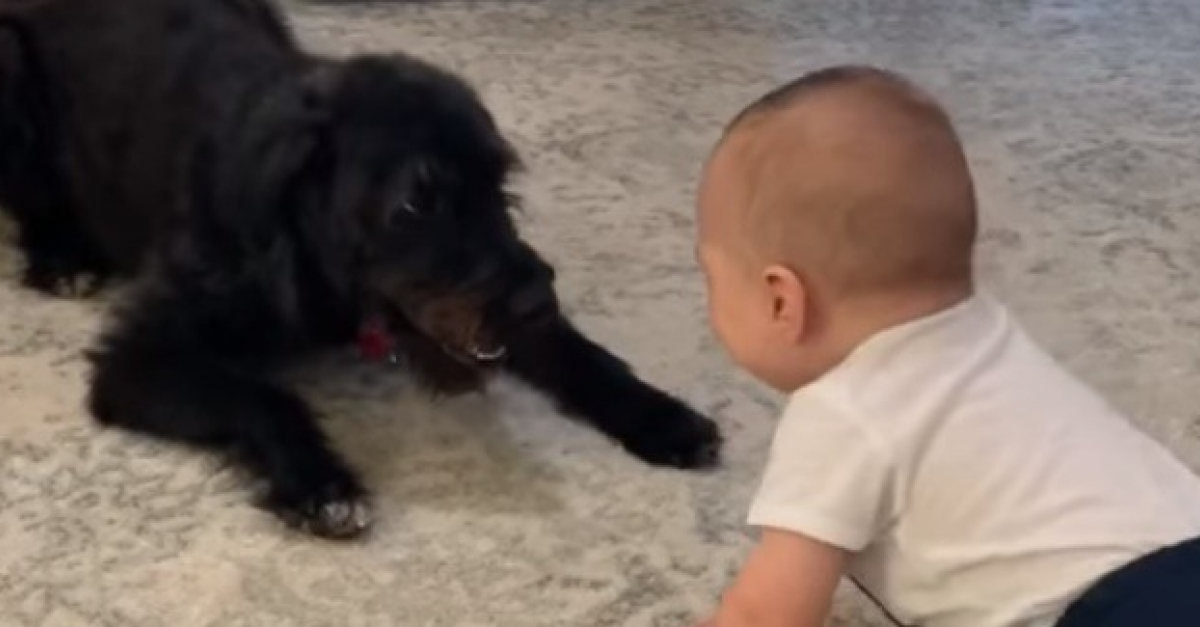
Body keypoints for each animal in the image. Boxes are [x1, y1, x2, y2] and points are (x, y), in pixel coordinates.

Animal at [0, 0, 715, 535]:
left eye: (500, 183)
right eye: (414, 202)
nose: (538, 302)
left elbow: (579, 353)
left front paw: (659, 415)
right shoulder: (138, 358)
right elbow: (261, 396)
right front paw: (319, 481)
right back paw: (60, 254)